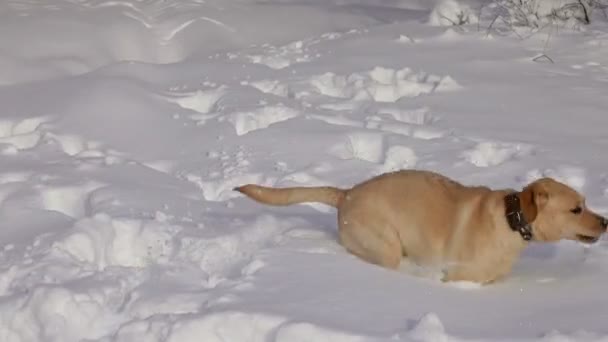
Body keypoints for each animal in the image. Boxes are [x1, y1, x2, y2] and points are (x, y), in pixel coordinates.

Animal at [234, 170, 608, 284]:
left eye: (586, 202)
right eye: (577, 208)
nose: (606, 221)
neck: (512, 222)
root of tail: (346, 194)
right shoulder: (458, 277)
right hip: (384, 244)